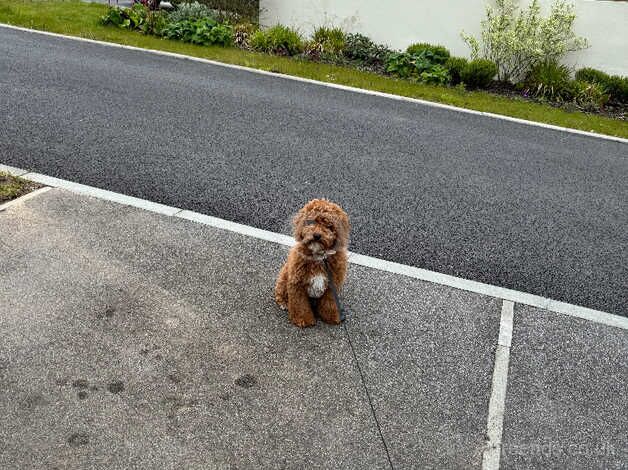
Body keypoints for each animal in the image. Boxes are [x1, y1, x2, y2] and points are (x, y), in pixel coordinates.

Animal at [278, 198, 350, 326]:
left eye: (328, 225)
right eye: (311, 222)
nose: (316, 235)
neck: (320, 257)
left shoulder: (332, 286)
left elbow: (329, 303)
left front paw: (331, 317)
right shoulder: (297, 283)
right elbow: (300, 304)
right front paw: (303, 319)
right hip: (284, 278)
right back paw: (284, 303)